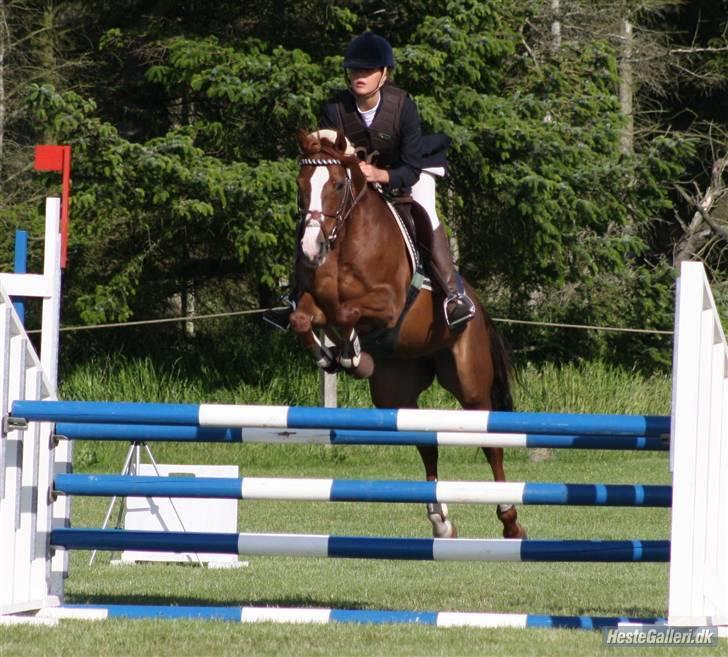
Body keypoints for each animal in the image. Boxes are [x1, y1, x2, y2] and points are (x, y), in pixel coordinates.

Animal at [288, 128, 528, 540]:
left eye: (337, 184)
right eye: (302, 185)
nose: (311, 247)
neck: (344, 241)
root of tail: (478, 304)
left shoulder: (388, 303)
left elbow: (348, 312)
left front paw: (352, 353)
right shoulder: (311, 302)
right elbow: (304, 320)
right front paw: (333, 355)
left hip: (470, 382)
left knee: (489, 441)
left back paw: (510, 521)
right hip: (395, 389)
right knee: (423, 440)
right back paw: (440, 519)